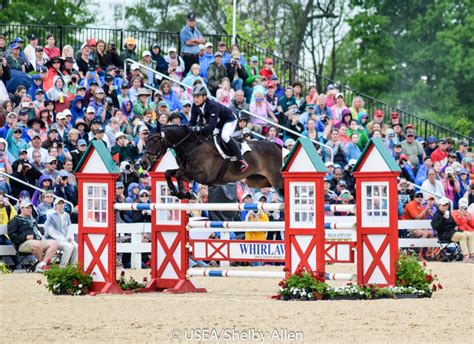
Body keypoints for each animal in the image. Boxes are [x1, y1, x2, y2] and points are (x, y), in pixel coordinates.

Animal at [139, 125, 284, 199]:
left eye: (155, 141)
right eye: (145, 140)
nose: (143, 163)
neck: (191, 146)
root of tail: (278, 147)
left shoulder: (204, 175)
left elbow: (179, 173)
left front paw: (182, 193)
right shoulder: (189, 172)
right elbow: (168, 172)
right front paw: (177, 192)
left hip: (276, 180)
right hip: (258, 181)